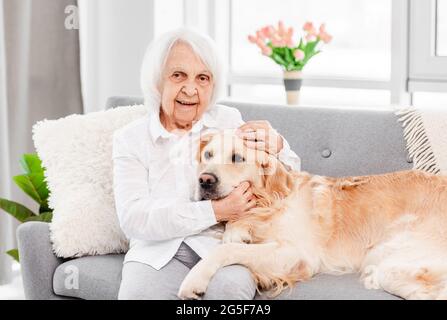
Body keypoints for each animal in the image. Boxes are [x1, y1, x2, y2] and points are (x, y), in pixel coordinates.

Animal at [178, 131, 447, 300]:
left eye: (237, 158)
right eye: (208, 155)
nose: (205, 180)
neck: (269, 202)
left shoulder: (297, 253)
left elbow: (225, 250)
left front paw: (194, 281)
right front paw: (237, 230)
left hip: (389, 254)